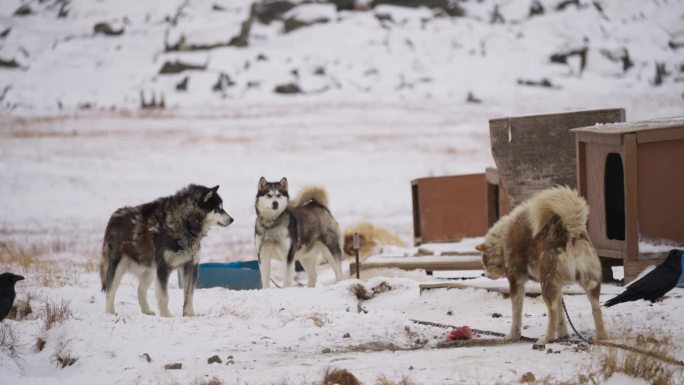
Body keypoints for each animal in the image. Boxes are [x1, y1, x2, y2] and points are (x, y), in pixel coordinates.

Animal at [478, 185, 608, 342]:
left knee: (552, 310)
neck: (503, 241)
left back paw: (547, 338)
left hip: (546, 283)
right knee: (596, 308)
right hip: (589, 284)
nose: (484, 274)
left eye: (484, 262)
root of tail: (570, 232)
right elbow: (561, 315)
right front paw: (563, 334)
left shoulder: (516, 283)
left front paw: (513, 335)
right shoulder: (558, 288)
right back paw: (601, 337)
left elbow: (516, 314)